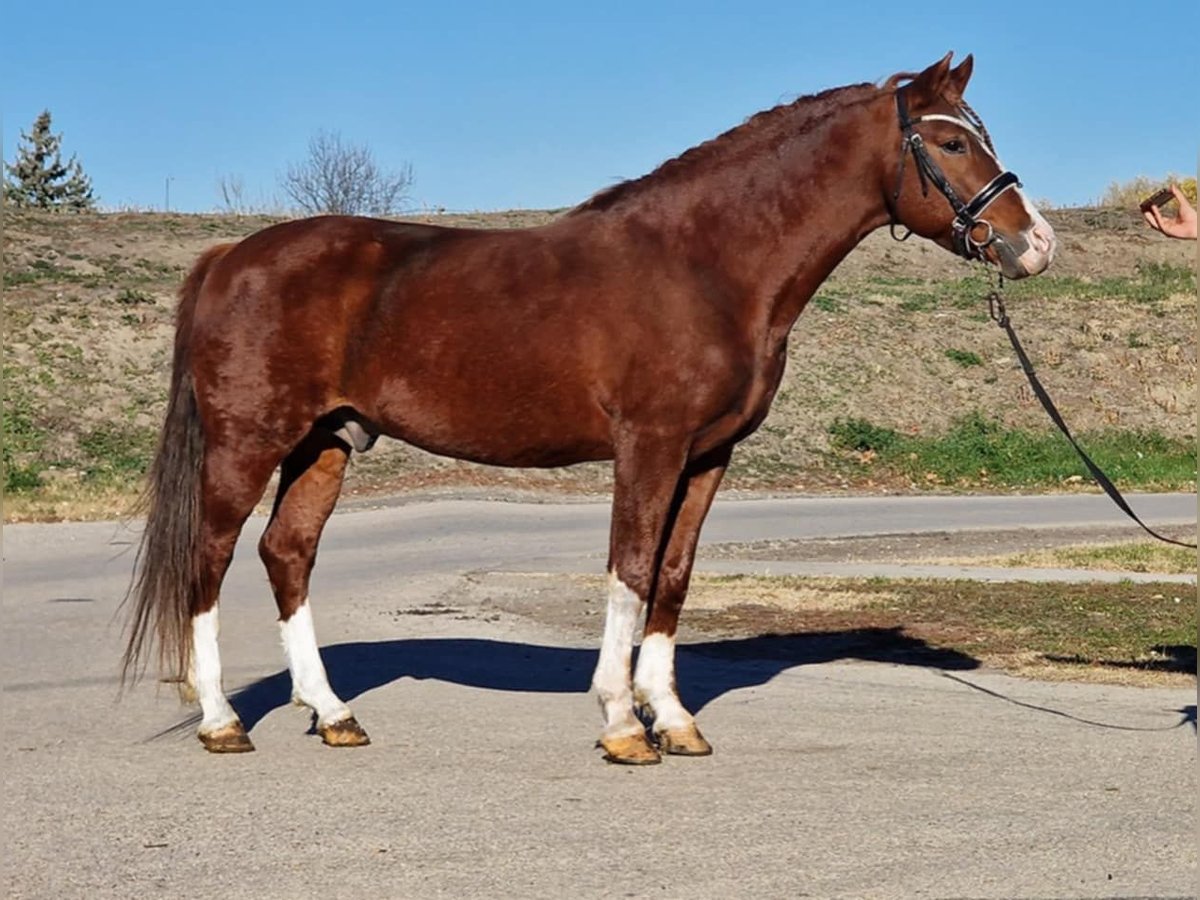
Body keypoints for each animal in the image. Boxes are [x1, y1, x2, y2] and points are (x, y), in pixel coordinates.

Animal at [123, 52, 1055, 763]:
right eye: (949, 140)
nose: (1035, 243)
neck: (705, 265)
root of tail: (230, 256)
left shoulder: (708, 455)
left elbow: (673, 577)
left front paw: (673, 719)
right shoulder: (650, 446)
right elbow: (630, 570)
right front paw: (621, 724)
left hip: (325, 441)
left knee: (288, 553)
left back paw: (334, 713)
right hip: (248, 442)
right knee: (210, 557)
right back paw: (222, 721)